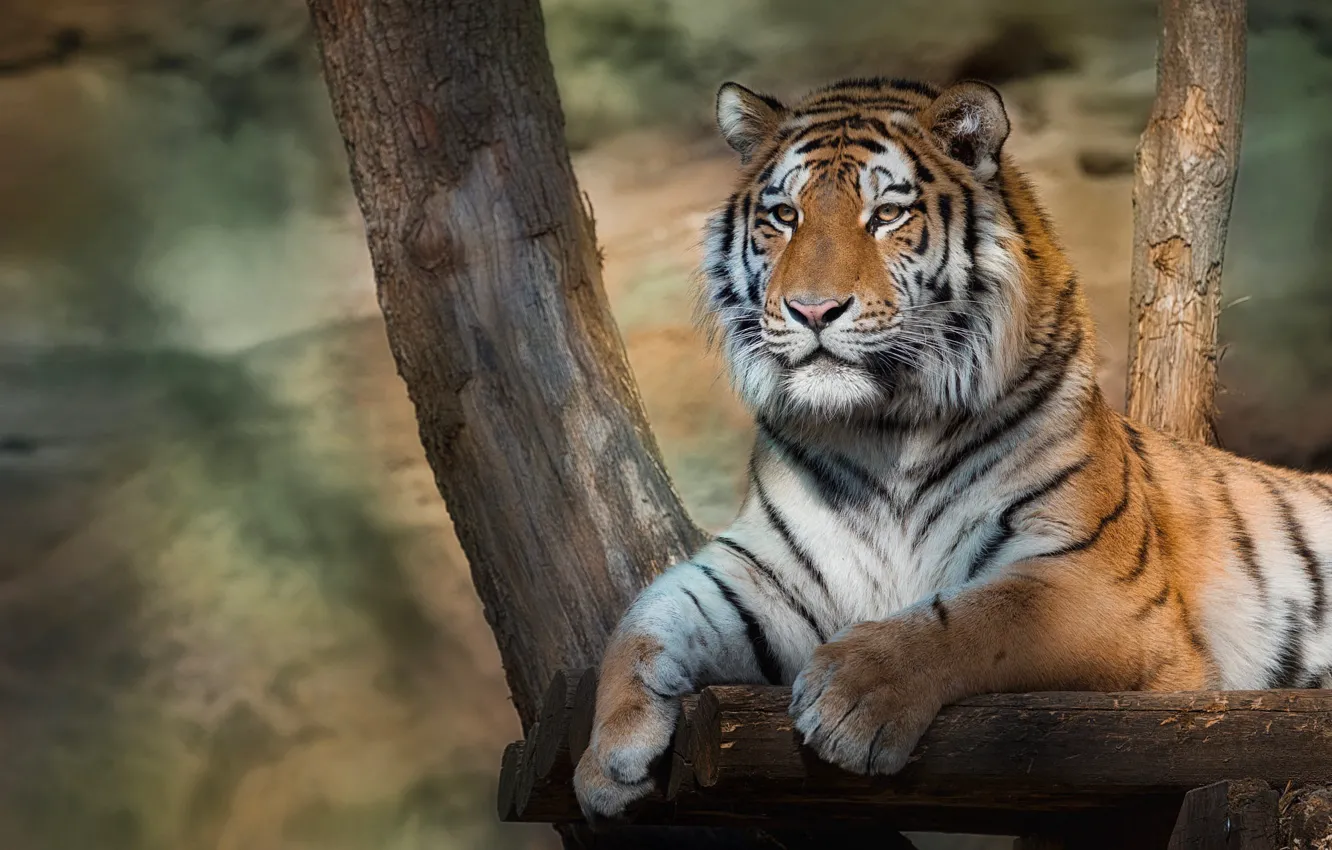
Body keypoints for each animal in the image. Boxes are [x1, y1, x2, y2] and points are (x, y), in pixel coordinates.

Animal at [573, 76, 1332, 822]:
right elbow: (644, 619)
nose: (812, 310)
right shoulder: (763, 568)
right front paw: (603, 761)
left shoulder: (1101, 584)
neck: (882, 429)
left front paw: (850, 697)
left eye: (885, 215)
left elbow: (974, 616)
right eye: (784, 216)